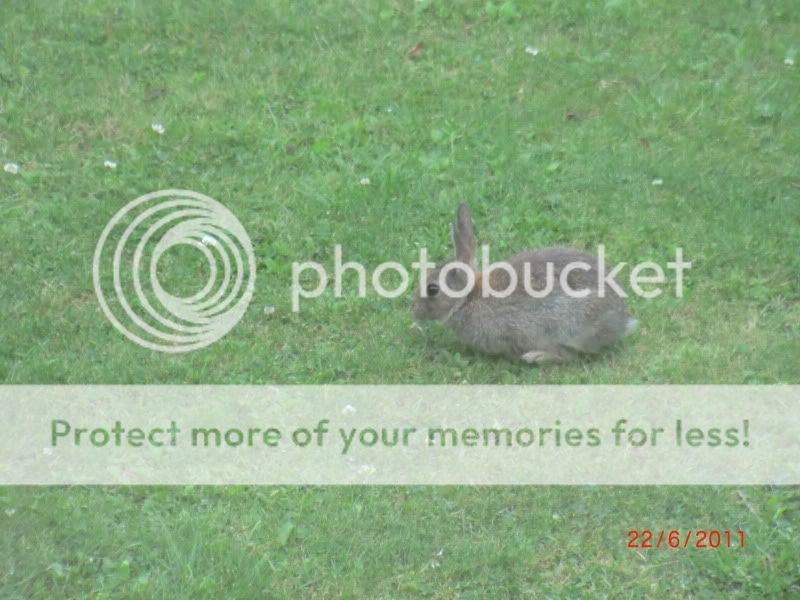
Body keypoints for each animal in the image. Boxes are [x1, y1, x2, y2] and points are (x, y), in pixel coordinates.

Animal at [412, 204, 636, 364]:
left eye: (432, 289)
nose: (414, 310)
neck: (467, 298)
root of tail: (620, 322)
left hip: (567, 328)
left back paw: (535, 357)